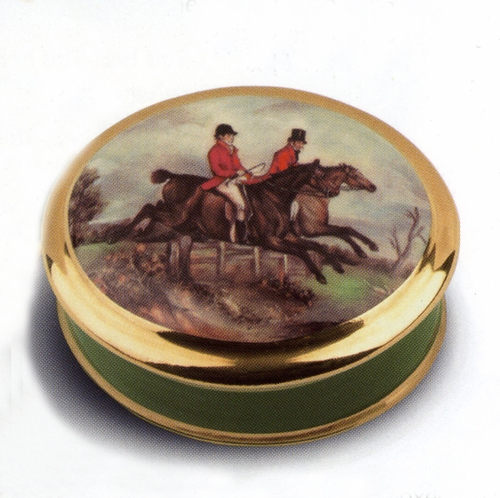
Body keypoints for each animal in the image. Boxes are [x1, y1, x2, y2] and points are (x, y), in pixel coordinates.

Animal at [108, 162, 363, 284]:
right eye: (320, 175)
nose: (332, 192)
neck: (274, 197)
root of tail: (175, 177)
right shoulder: (270, 241)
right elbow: (302, 251)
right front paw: (321, 275)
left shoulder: (287, 236)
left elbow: (313, 247)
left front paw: (336, 265)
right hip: (178, 216)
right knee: (148, 208)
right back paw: (118, 236)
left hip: (179, 219)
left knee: (155, 211)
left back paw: (142, 235)